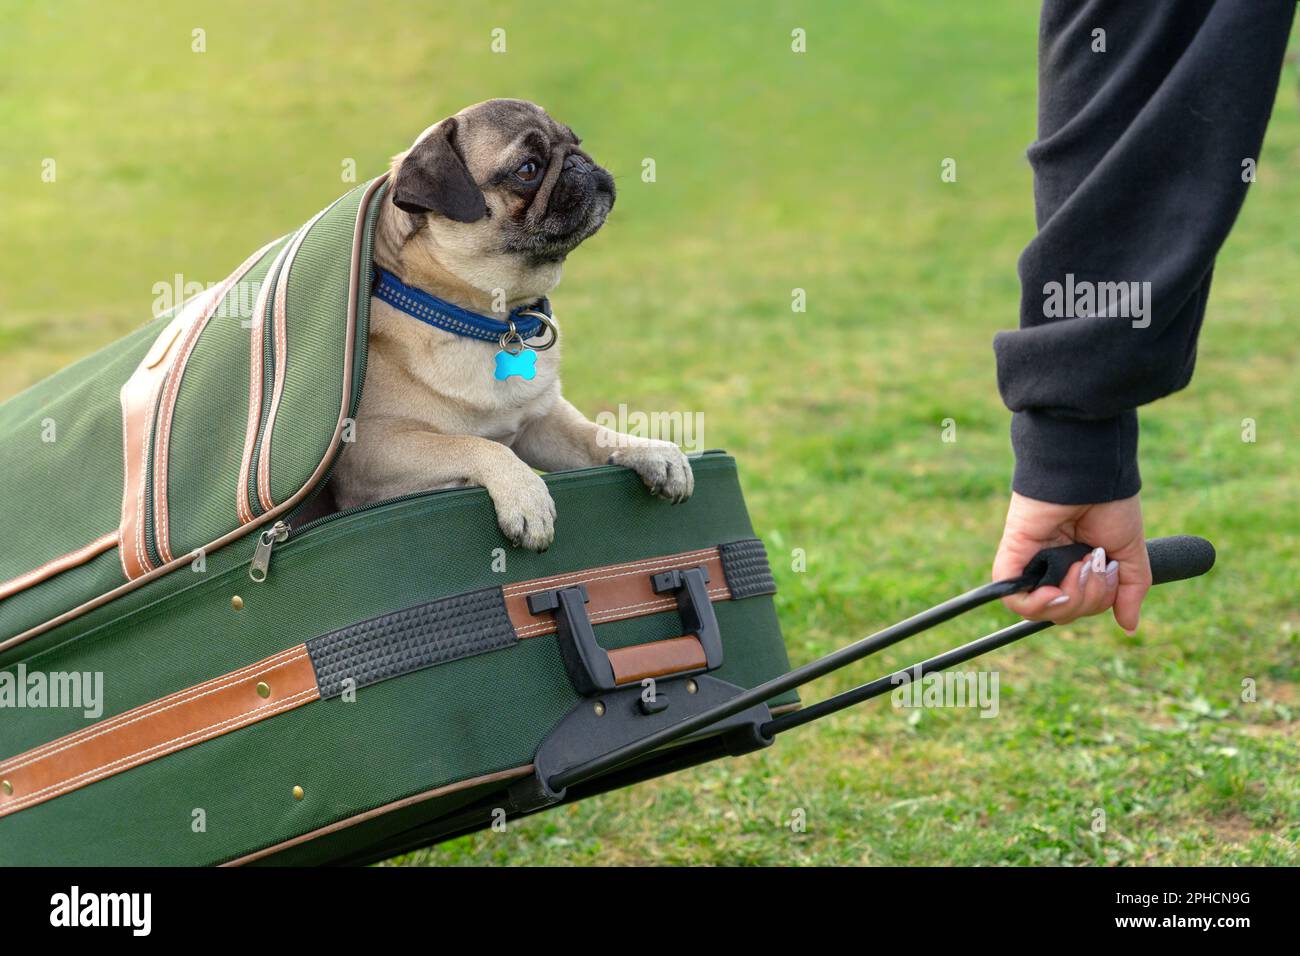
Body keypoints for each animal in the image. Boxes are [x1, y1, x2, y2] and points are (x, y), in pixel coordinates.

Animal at [332, 100, 691, 548]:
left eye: (575, 141)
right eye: (528, 168)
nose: (579, 161)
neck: (495, 320)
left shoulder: (541, 424)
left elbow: (593, 434)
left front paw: (649, 449)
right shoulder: (373, 450)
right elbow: (475, 446)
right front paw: (526, 496)